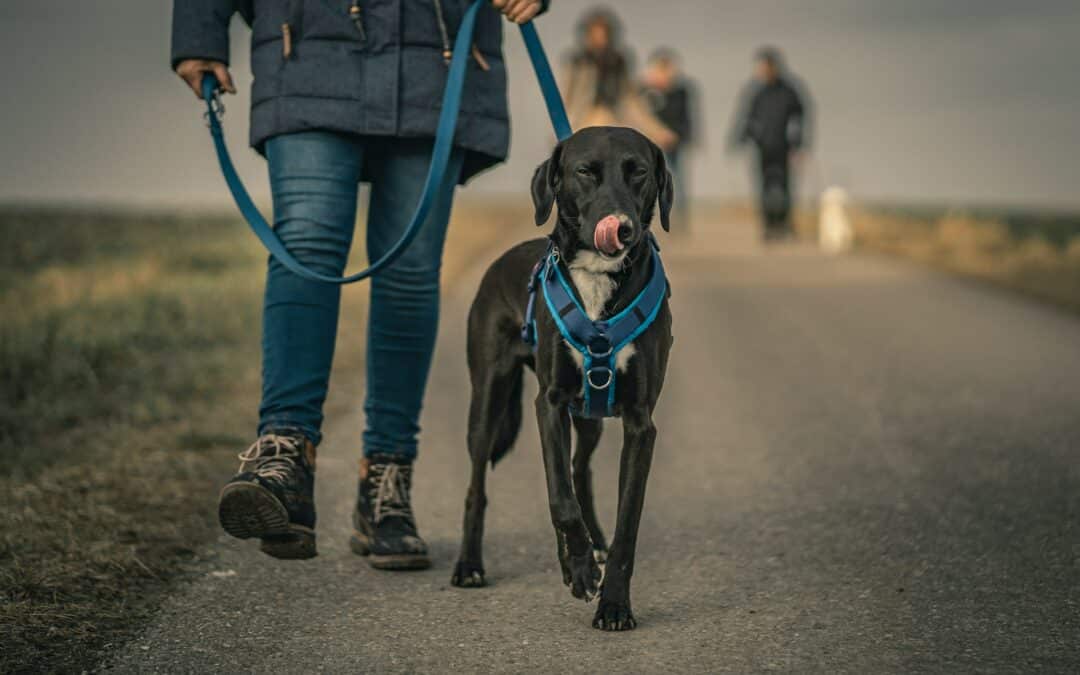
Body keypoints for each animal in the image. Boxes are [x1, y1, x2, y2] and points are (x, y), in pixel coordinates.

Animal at [449, 127, 669, 630]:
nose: (622, 226)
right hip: (487, 403)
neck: (599, 278)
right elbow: (560, 502)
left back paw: (589, 548)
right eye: (585, 171)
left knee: (577, 469)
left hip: (588, 416)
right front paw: (582, 571)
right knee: (479, 487)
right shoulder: (548, 404)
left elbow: (626, 520)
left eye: (639, 172)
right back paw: (470, 565)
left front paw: (613, 603)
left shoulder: (639, 423)